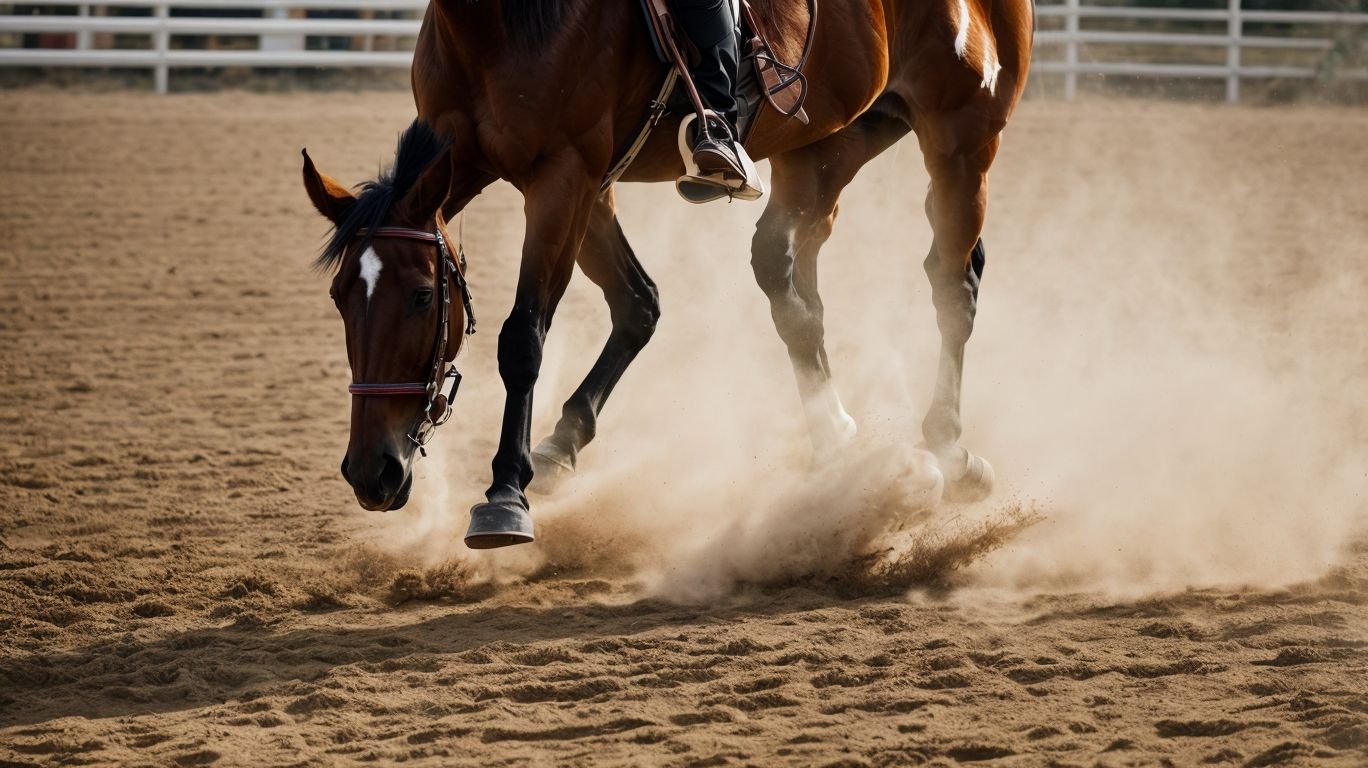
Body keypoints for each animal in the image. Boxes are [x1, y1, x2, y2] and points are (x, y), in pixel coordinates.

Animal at [301, 0, 1034, 548]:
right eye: (339, 298)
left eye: (424, 296)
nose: (371, 472)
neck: (499, 23)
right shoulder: (568, 181)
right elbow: (638, 303)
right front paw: (560, 447)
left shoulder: (562, 177)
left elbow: (524, 339)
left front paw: (506, 493)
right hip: (831, 142)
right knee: (789, 278)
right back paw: (835, 443)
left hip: (963, 136)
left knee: (951, 286)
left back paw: (948, 449)